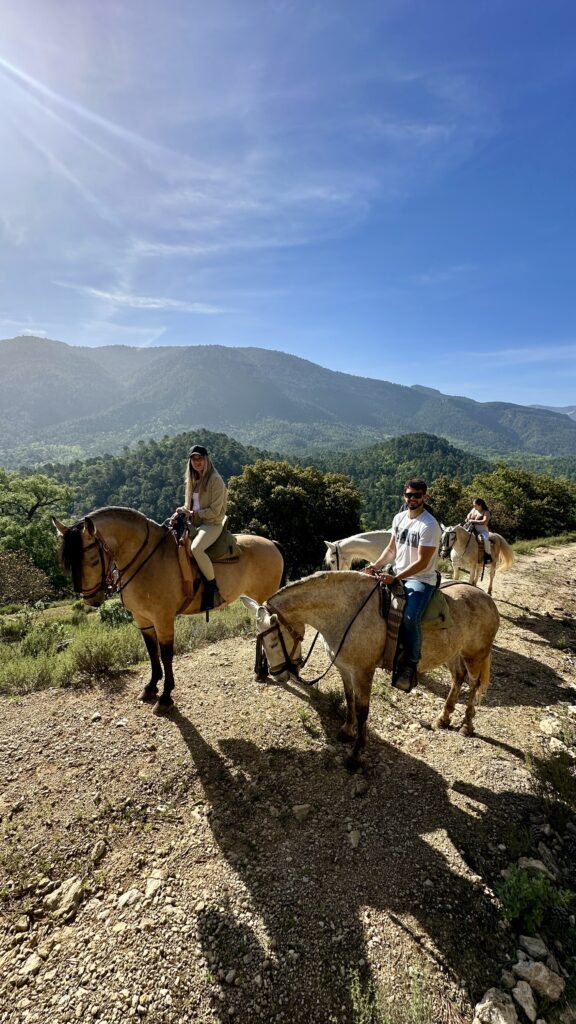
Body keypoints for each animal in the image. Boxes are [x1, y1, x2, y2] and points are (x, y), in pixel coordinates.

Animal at [53, 505, 282, 712]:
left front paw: (165, 697)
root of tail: (271, 543)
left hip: (262, 599)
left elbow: (166, 655)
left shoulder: (163, 620)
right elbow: (152, 652)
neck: (147, 560)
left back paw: (262, 670)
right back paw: (260, 670)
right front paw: (151, 687)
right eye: (69, 563)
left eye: (92, 560)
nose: (91, 600)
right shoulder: (143, 620)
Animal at [239, 569, 496, 770]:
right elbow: (349, 699)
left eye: (273, 642)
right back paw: (443, 718)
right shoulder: (345, 669)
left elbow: (363, 710)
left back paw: (467, 725)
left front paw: (355, 755)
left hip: (474, 655)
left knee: (474, 685)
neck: (347, 612)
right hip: (453, 652)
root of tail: (485, 597)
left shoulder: (363, 672)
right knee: (458, 678)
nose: (279, 675)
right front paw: (346, 731)